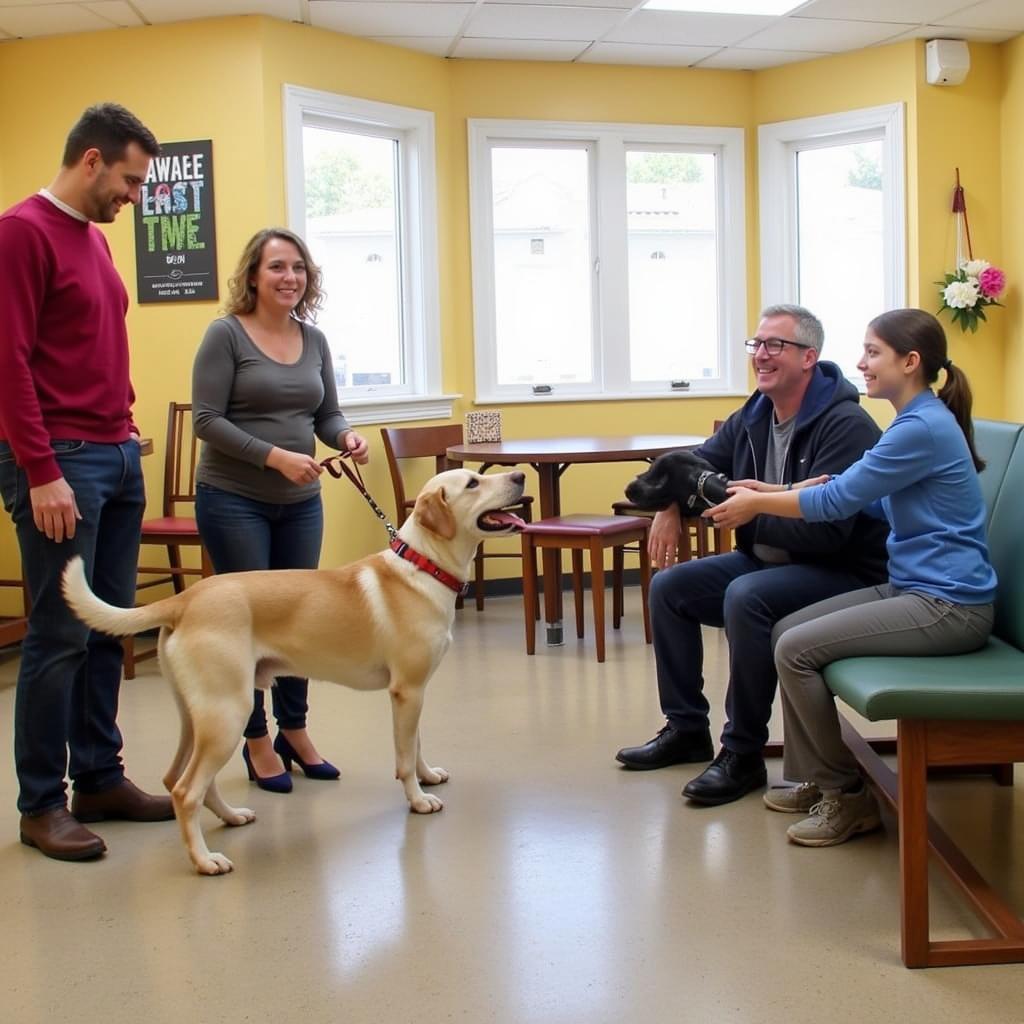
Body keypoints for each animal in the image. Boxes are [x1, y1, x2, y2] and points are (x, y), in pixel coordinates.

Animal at [61, 468, 528, 876]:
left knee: (178, 779)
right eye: (473, 482)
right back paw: (205, 861)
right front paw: (417, 799)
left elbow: (415, 745)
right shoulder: (407, 690)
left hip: (197, 718)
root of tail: (185, 599)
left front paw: (429, 776)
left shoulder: (414, 693)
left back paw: (232, 817)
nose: (520, 476)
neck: (422, 564)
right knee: (185, 790)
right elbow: (402, 758)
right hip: (229, 712)